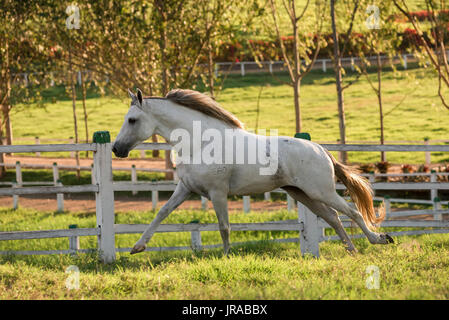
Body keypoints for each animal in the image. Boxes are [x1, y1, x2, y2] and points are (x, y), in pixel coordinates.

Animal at [113, 89, 392, 256]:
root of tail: (322, 151)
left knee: (352, 212)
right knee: (333, 217)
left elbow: (224, 226)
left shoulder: (217, 192)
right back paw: (351, 250)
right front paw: (138, 246)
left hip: (320, 192)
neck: (201, 142)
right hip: (303, 194)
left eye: (132, 120)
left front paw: (225, 256)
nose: (116, 148)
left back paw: (379, 239)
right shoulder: (186, 188)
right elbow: (162, 212)